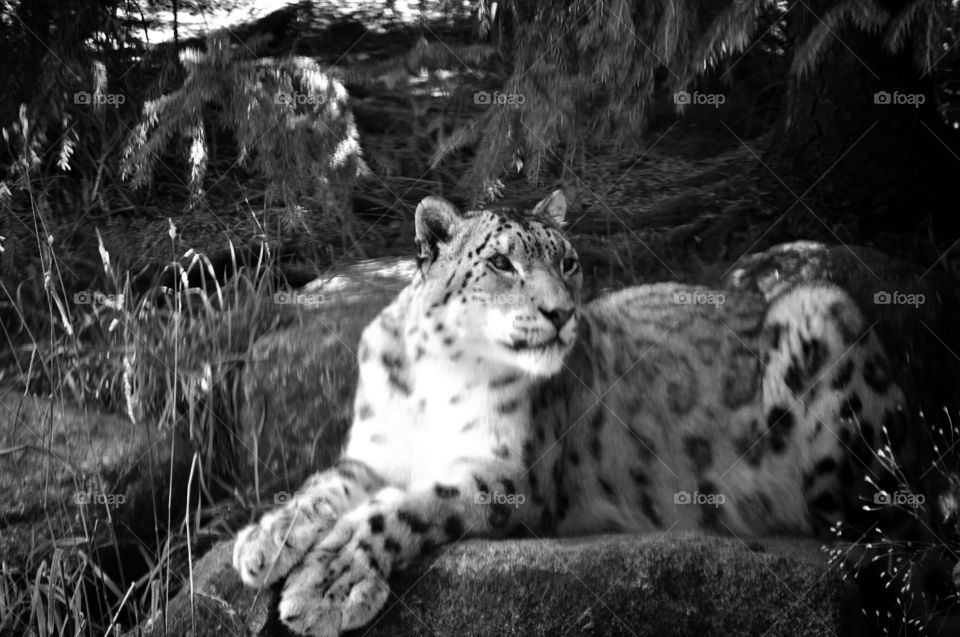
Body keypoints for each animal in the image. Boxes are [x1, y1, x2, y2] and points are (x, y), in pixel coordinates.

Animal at [232, 190, 910, 636]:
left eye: (568, 261)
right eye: (500, 262)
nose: (560, 313)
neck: (432, 379)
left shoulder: (508, 474)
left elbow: (403, 508)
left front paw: (328, 583)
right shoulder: (376, 452)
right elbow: (326, 484)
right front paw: (264, 540)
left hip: (825, 317)